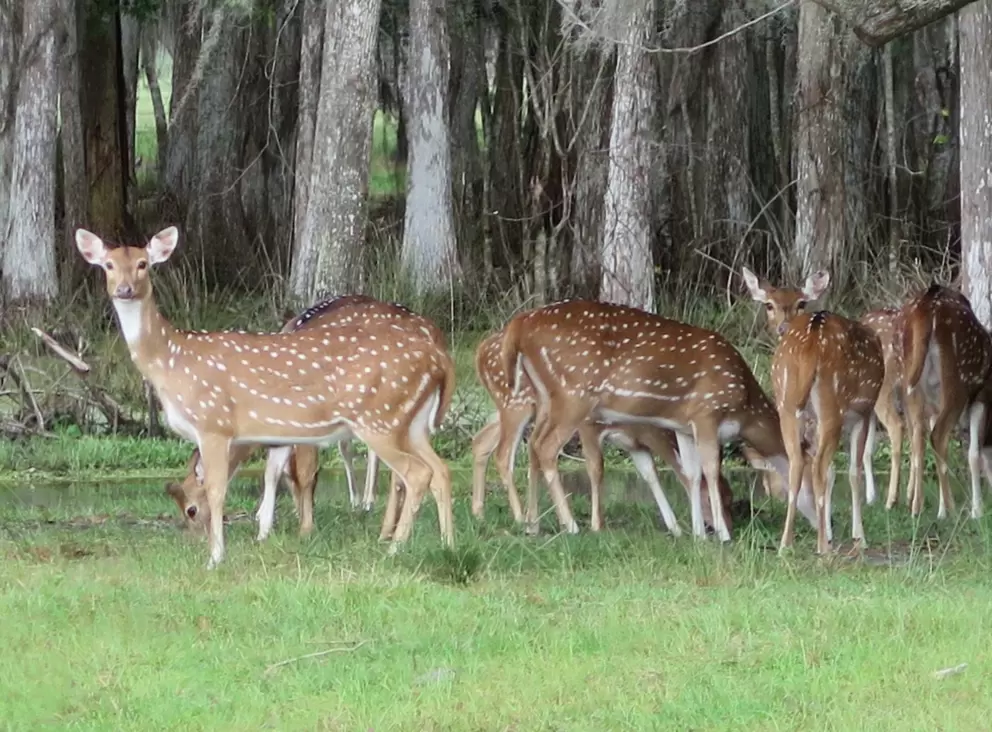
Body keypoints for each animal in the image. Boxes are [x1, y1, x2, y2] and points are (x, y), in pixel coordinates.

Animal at [166, 294, 448, 540]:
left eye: (191, 510)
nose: (198, 538)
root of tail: (435, 336)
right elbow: (278, 471)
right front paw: (269, 524)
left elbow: (305, 471)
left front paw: (304, 529)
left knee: (400, 471)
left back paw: (384, 527)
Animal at [471, 329, 734, 536]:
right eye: (714, 498)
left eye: (730, 497)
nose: (728, 527)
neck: (642, 426)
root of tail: (480, 351)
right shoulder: (589, 424)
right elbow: (597, 469)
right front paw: (597, 524)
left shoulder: (634, 442)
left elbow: (650, 473)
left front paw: (675, 527)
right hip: (518, 404)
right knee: (505, 453)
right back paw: (521, 518)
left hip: (511, 408)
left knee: (482, 441)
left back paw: (481, 512)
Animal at [499, 299, 821, 542]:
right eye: (811, 478)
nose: (823, 520)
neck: (745, 408)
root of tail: (519, 325)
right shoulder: (707, 412)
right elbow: (709, 469)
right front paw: (722, 535)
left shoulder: (684, 425)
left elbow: (691, 474)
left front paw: (697, 534)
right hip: (574, 395)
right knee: (545, 447)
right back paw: (571, 525)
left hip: (546, 397)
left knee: (533, 445)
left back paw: (533, 524)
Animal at [770, 311, 884, 554]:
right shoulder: (862, 414)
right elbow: (853, 472)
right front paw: (859, 538)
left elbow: (834, 473)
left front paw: (831, 532)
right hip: (832, 404)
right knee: (819, 467)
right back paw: (822, 547)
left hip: (786, 403)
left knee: (797, 464)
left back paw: (786, 545)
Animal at [901, 284, 992, 519]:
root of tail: (927, 305)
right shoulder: (980, 398)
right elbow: (974, 455)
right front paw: (977, 510)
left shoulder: (935, 405)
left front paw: (941, 507)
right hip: (956, 380)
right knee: (938, 436)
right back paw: (949, 510)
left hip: (912, 379)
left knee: (918, 437)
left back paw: (917, 508)